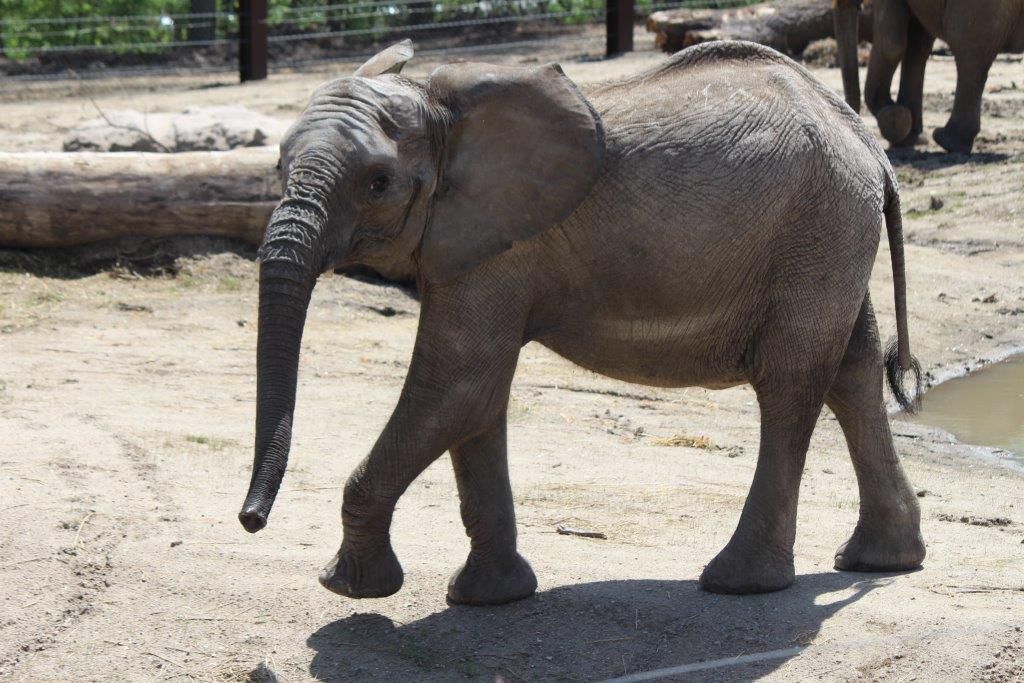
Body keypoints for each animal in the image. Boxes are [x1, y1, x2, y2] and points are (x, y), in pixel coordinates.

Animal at [237, 38, 929, 602]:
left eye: (378, 183)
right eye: (277, 168)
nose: (251, 520)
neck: (441, 108)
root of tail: (869, 145)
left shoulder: (499, 243)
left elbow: (456, 386)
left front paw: (351, 589)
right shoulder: (474, 244)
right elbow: (477, 400)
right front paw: (490, 598)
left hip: (819, 224)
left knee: (790, 384)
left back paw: (740, 583)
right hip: (831, 229)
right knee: (852, 370)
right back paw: (879, 561)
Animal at [831, 0, 1024, 153]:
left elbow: (892, 44)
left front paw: (896, 120)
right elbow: (918, 43)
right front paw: (911, 136)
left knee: (969, 52)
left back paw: (946, 140)